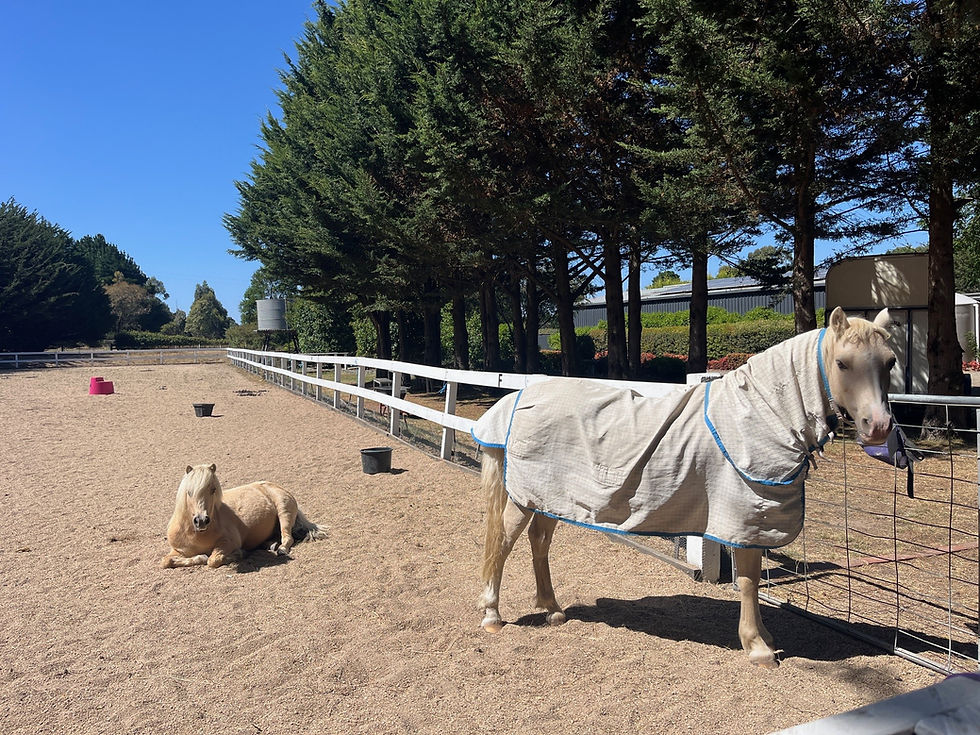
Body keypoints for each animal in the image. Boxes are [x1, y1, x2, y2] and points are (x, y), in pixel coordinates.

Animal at [160, 463, 328, 569]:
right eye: (189, 492)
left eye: (213, 489)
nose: (201, 521)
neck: (194, 534)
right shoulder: (178, 551)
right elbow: (165, 562)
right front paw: (199, 557)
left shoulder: (228, 542)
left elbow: (213, 560)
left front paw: (238, 554)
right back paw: (271, 545)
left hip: (284, 511)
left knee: (287, 537)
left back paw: (280, 549)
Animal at [470, 307, 896, 668]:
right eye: (842, 363)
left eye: (890, 362)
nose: (878, 426)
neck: (758, 414)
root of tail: (518, 396)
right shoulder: (743, 515)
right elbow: (747, 580)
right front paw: (758, 647)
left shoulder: (755, 520)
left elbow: (753, 578)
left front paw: (764, 637)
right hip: (525, 498)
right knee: (503, 542)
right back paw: (493, 615)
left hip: (549, 497)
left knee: (539, 542)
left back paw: (553, 609)